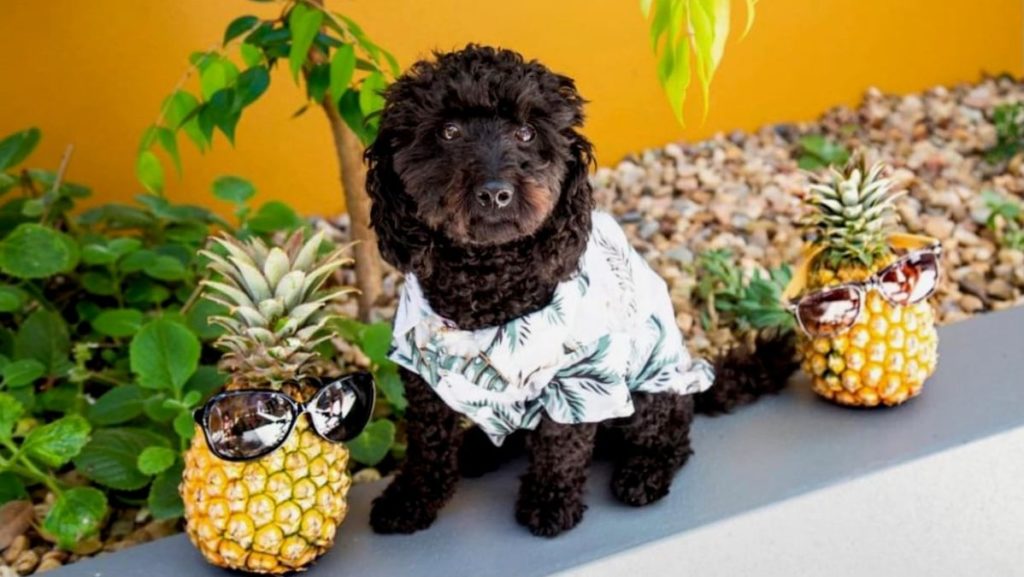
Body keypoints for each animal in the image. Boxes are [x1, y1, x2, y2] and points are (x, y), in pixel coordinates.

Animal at [364, 44, 794, 537]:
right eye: (449, 131)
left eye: (527, 132)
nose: (495, 193)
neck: (486, 286)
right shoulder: (420, 369)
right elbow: (427, 445)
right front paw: (410, 499)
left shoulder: (581, 378)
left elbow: (561, 443)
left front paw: (550, 502)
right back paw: (479, 450)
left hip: (649, 390)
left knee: (672, 433)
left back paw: (644, 472)